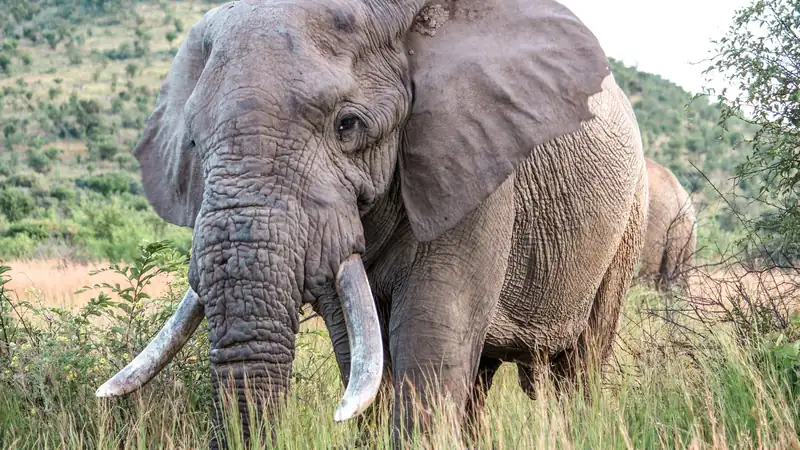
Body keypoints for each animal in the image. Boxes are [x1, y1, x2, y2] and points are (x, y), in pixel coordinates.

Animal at [95, 0, 648, 447]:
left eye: (348, 125)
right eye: (192, 141)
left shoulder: (472, 163)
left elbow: (431, 336)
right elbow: (359, 352)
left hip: (629, 221)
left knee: (580, 367)